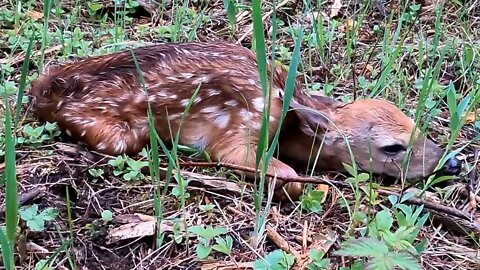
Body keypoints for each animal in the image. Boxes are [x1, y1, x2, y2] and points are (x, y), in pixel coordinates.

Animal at [28, 40, 464, 200]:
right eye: (392, 147)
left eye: (419, 128)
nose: (453, 162)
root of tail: (43, 88)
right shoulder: (239, 128)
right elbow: (279, 173)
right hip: (114, 133)